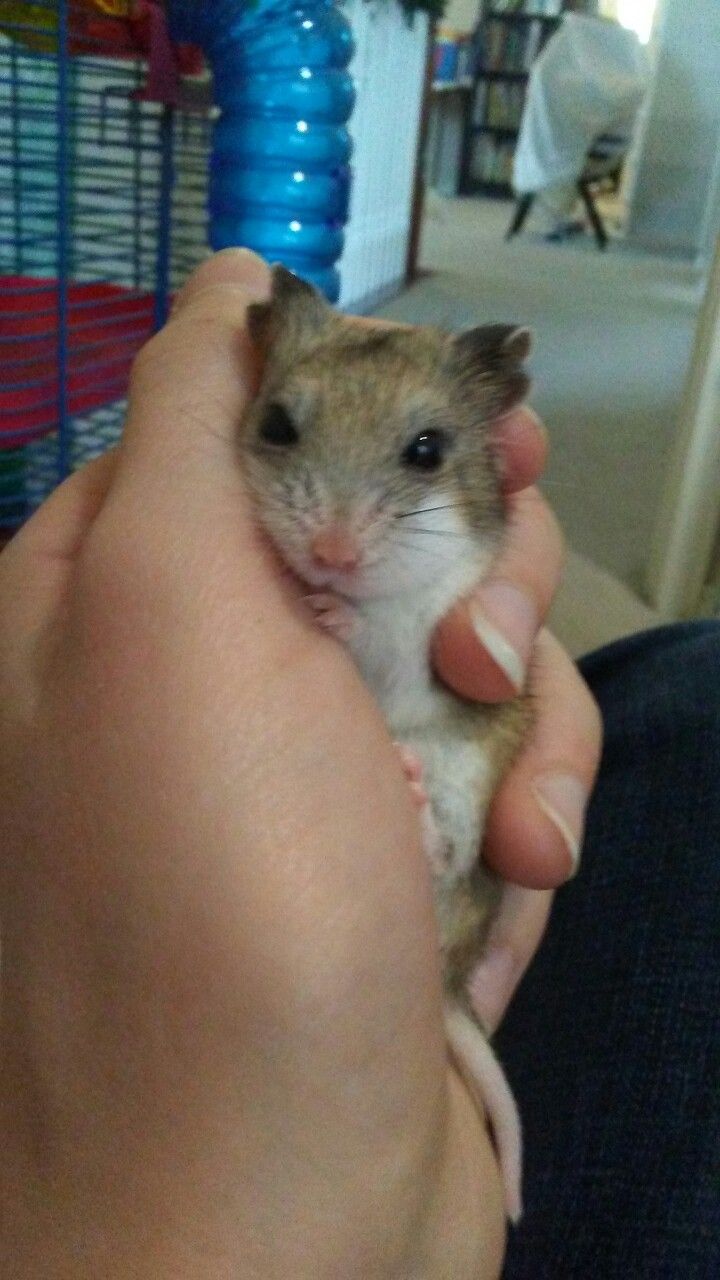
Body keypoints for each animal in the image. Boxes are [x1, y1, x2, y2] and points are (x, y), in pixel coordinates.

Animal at [240, 262, 532, 1218]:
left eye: (427, 451)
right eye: (277, 425)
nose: (330, 557)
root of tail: (449, 981)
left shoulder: (432, 639)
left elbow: (384, 636)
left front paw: (332, 612)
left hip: (469, 785)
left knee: (449, 850)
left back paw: (410, 794)